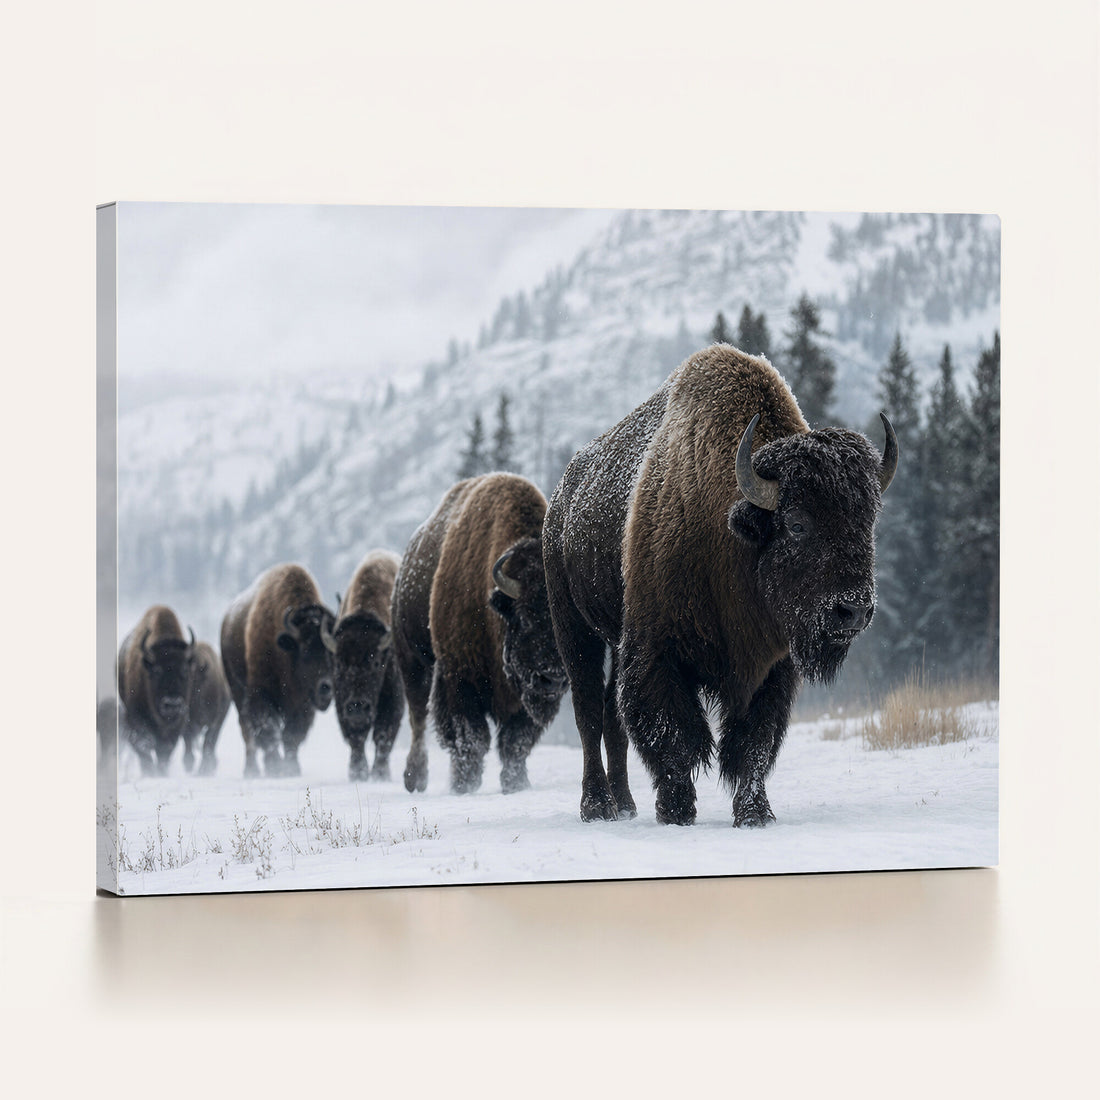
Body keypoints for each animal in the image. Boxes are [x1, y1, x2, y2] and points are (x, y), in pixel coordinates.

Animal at [117, 605, 197, 776]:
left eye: (185, 669)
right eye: (157, 671)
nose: (172, 703)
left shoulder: (177, 724)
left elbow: (164, 751)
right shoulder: (135, 719)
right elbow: (144, 748)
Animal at [220, 563, 337, 778]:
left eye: (333, 653)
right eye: (305, 651)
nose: (326, 687)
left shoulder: (303, 705)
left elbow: (292, 734)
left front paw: (292, 768)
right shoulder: (261, 694)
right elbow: (269, 729)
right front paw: (274, 767)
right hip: (237, 691)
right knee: (247, 731)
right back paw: (252, 770)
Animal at [332, 550, 406, 782]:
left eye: (375, 662)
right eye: (339, 663)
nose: (357, 707)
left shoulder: (394, 700)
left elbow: (383, 735)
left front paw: (381, 775)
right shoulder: (341, 703)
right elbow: (356, 738)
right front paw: (357, 773)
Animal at [393, 473, 568, 795]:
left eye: (562, 626)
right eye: (525, 618)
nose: (553, 679)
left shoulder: (520, 696)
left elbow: (515, 742)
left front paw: (516, 784)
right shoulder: (458, 676)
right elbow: (470, 737)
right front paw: (464, 784)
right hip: (412, 661)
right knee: (418, 718)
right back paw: (415, 778)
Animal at [543, 344, 897, 826]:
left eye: (868, 524)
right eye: (796, 524)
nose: (853, 611)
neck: (731, 529)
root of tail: (560, 502)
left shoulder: (769, 667)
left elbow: (752, 743)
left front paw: (755, 813)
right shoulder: (657, 652)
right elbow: (675, 734)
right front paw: (676, 810)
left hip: (615, 639)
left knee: (613, 719)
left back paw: (626, 804)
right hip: (574, 628)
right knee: (589, 713)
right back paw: (597, 805)